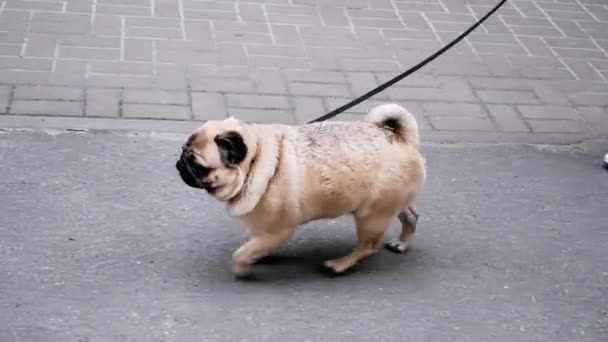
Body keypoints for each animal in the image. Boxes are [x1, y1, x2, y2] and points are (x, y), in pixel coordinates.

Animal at [173, 103, 426, 278]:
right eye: (183, 151)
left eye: (198, 166)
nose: (179, 165)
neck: (256, 160)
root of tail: (400, 137)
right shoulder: (264, 229)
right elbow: (255, 244)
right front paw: (259, 256)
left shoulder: (278, 230)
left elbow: (243, 251)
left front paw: (242, 267)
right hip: (391, 203)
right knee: (411, 216)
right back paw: (401, 243)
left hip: (371, 216)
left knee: (368, 247)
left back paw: (339, 265)